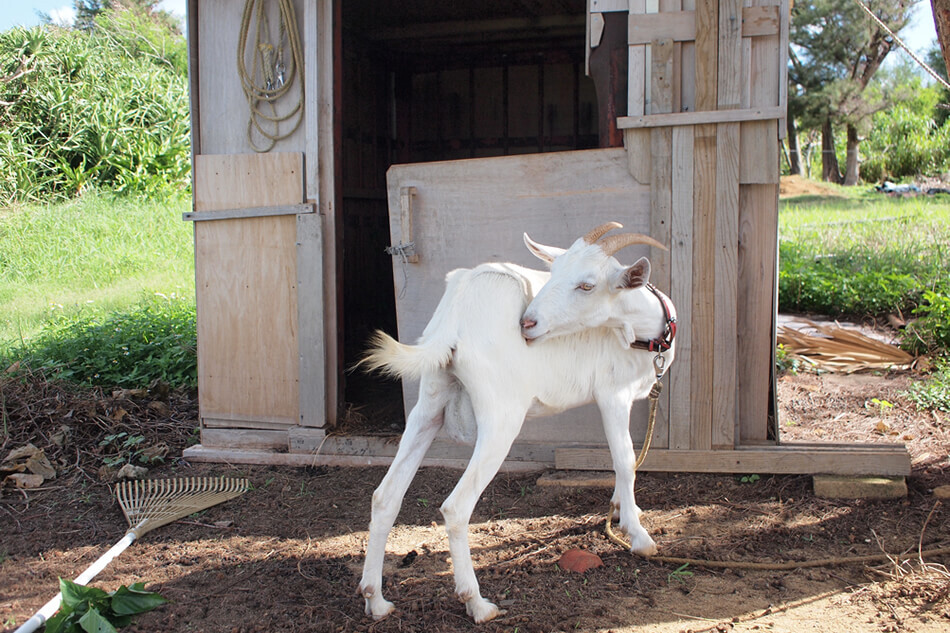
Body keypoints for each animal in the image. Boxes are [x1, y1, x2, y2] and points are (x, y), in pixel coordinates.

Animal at [356, 222, 676, 624]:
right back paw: (477, 603)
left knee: (385, 496)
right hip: (501, 417)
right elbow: (626, 460)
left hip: (429, 403)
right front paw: (640, 537)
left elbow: (619, 460)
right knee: (455, 507)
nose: (528, 323)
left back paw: (375, 599)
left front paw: (619, 510)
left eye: (587, 285)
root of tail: (458, 313)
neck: (645, 331)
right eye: (553, 274)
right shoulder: (612, 395)